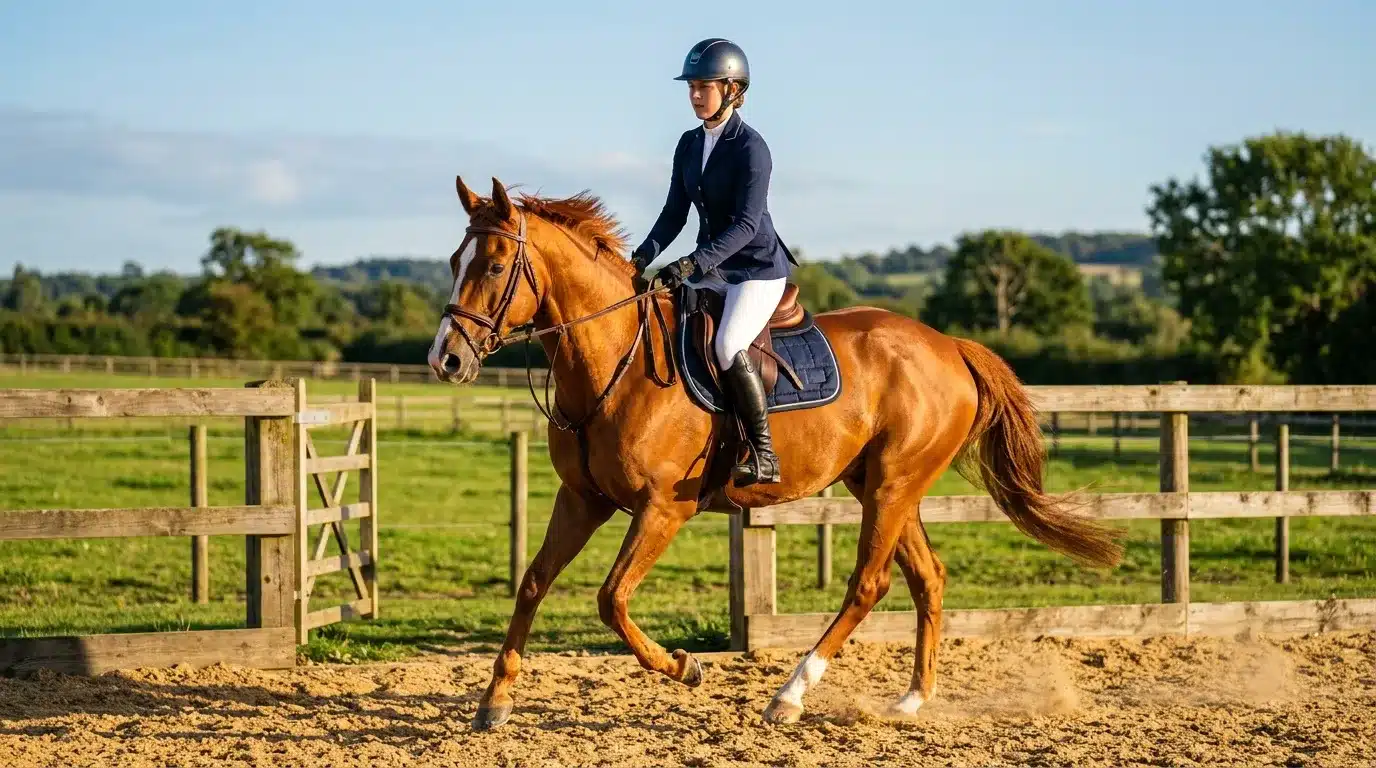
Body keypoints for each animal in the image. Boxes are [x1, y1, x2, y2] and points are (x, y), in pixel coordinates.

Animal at [428, 176, 1124, 730]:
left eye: (494, 267)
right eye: (456, 260)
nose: (446, 360)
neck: (616, 361)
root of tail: (949, 346)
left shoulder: (663, 509)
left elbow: (611, 598)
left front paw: (684, 668)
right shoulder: (583, 500)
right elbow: (533, 583)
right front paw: (494, 702)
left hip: (894, 484)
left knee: (868, 584)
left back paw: (789, 696)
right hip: (881, 485)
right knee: (927, 577)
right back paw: (910, 701)